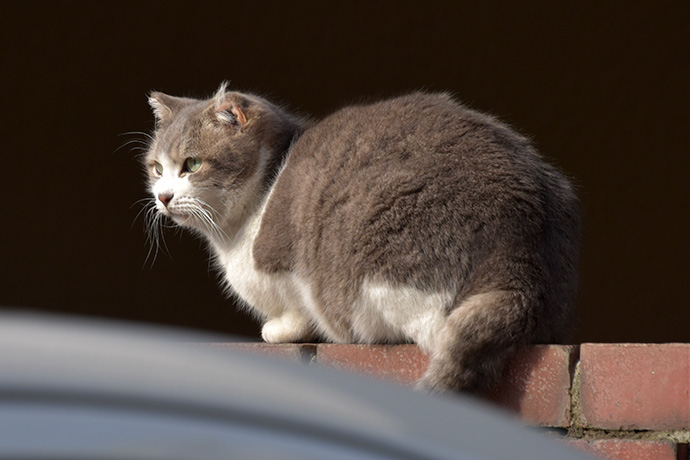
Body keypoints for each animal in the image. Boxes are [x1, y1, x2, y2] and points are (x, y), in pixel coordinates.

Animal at [142, 82, 576, 392]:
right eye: (156, 168)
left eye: (192, 164)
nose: (163, 197)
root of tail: (523, 251)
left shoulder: (287, 267)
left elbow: (296, 309)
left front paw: (279, 329)